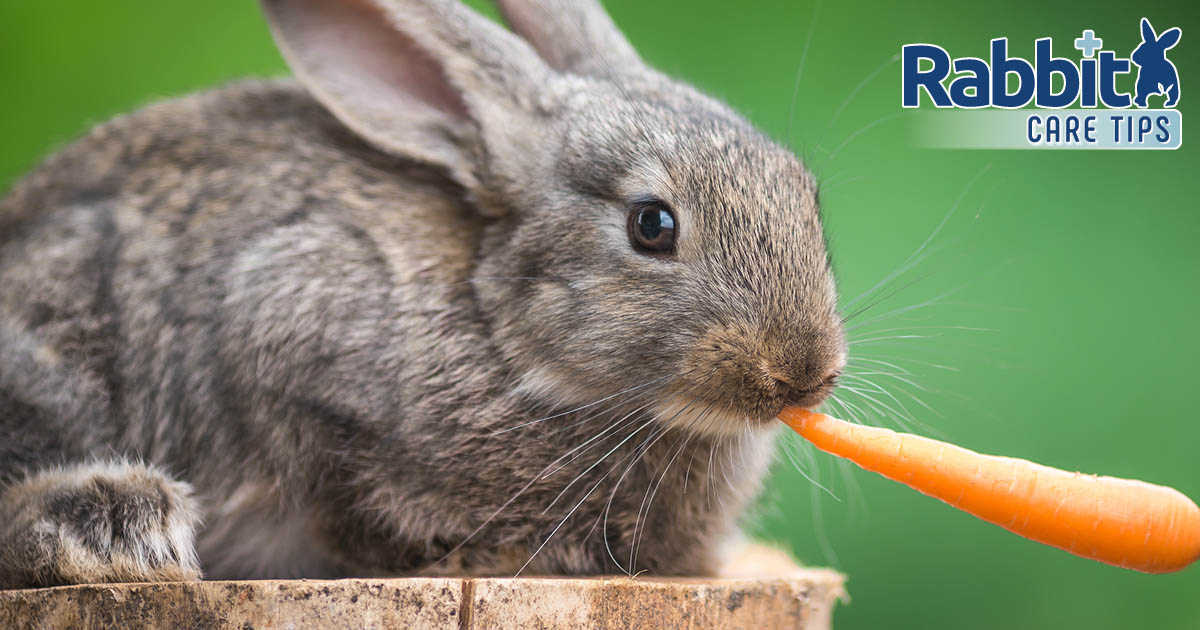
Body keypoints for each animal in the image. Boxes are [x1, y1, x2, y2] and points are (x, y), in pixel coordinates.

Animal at [0, 0, 844, 590]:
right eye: (652, 225)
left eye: (806, 194)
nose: (804, 372)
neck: (503, 332)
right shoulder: (284, 322)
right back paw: (117, 520)